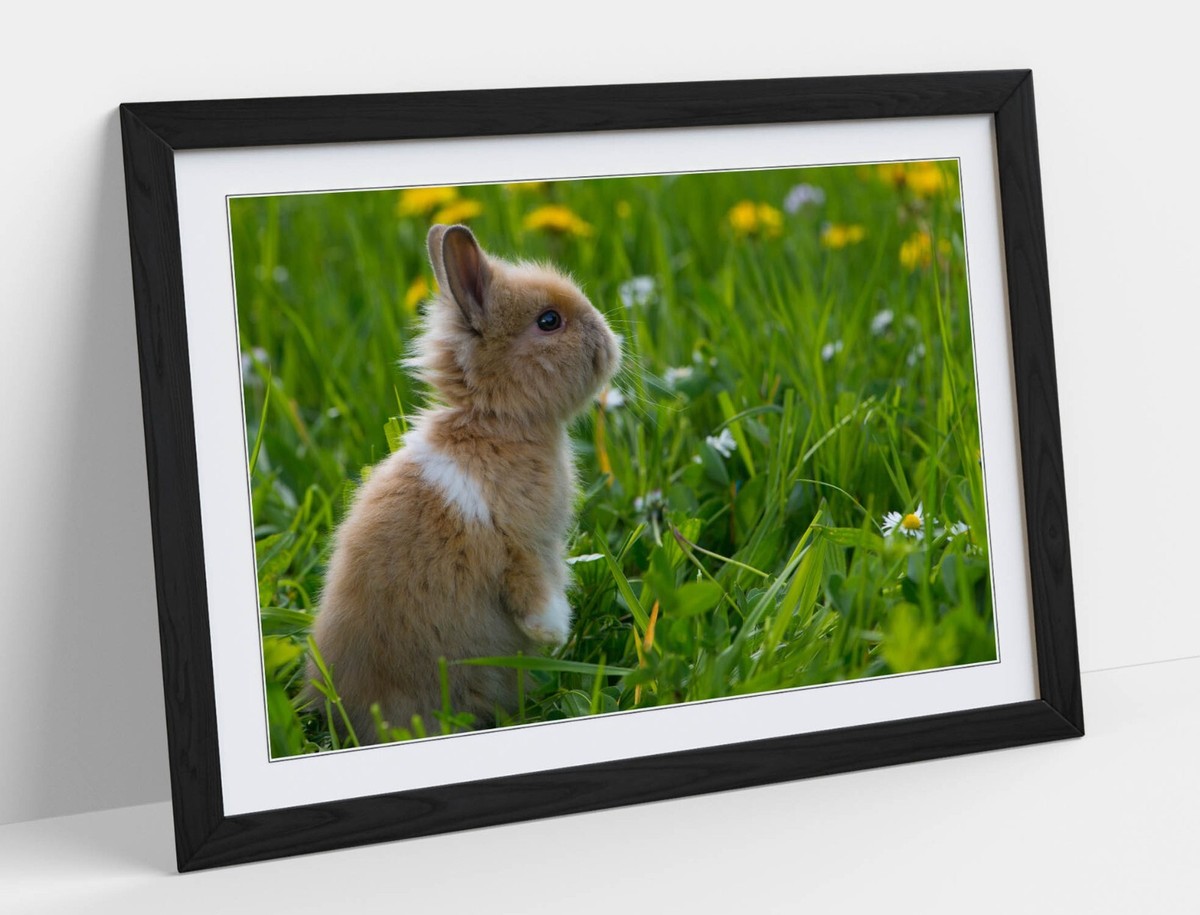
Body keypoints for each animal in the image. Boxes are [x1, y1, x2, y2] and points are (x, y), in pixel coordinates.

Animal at [307, 223, 621, 744]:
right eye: (549, 321)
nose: (611, 343)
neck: (493, 424)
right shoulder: (526, 545)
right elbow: (534, 592)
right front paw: (554, 633)